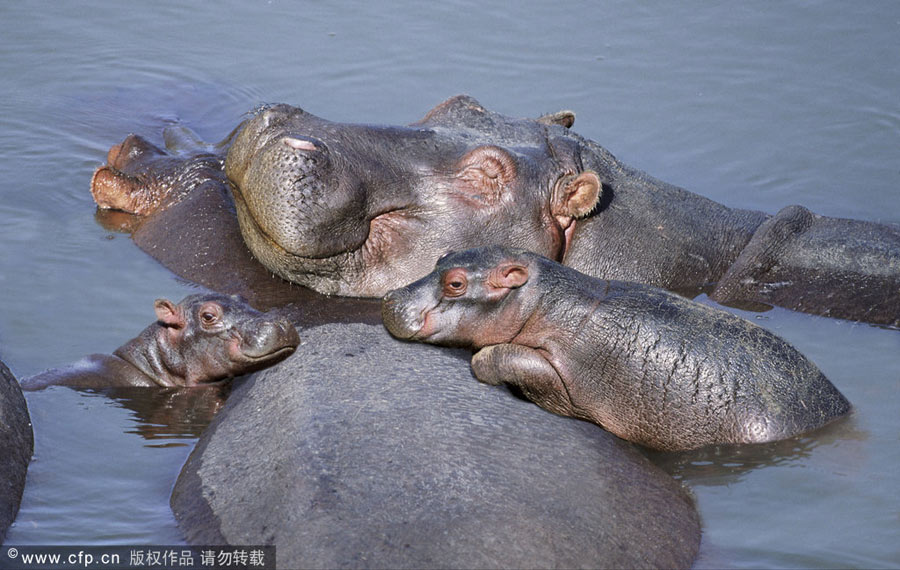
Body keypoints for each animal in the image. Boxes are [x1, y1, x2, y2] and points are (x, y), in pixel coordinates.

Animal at [384, 246, 856, 450]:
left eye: (455, 283)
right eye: (442, 256)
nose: (390, 298)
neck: (543, 302)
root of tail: (839, 408)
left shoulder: (563, 376)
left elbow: (506, 357)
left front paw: (484, 362)